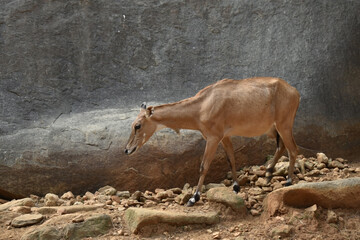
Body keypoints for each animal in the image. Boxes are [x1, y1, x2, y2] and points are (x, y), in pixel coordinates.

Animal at [125, 77, 300, 206]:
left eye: (137, 125)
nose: (127, 149)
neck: (201, 106)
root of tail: (295, 92)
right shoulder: (224, 137)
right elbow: (231, 159)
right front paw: (236, 187)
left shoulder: (213, 137)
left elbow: (204, 166)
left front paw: (193, 198)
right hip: (272, 129)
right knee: (281, 146)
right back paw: (269, 174)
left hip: (284, 124)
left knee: (293, 149)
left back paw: (288, 181)